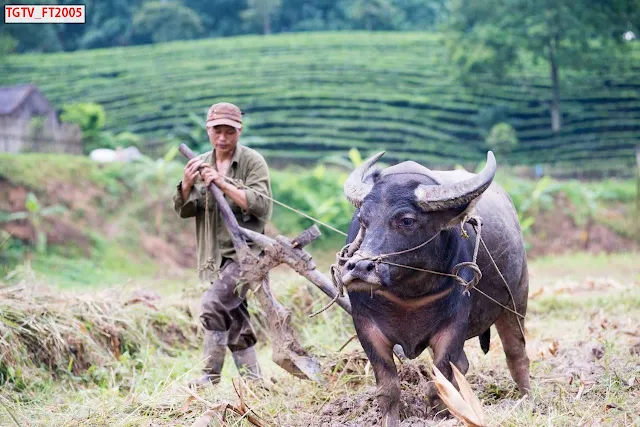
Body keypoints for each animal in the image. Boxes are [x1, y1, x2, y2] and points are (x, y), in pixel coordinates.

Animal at [340, 152, 528, 426]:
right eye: (363, 220)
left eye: (406, 220)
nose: (360, 268)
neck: (408, 290)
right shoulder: (366, 326)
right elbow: (388, 389)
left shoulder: (453, 326)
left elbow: (440, 382)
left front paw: (440, 413)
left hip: (516, 300)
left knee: (516, 353)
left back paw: (527, 399)